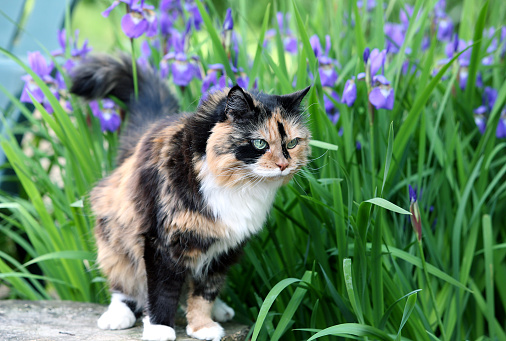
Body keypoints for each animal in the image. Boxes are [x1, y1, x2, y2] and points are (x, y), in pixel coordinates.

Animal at [69, 55, 310, 340]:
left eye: (292, 143)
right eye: (260, 143)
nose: (284, 165)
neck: (236, 186)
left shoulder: (224, 248)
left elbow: (204, 292)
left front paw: (202, 326)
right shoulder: (161, 242)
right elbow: (162, 290)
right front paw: (159, 329)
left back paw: (220, 310)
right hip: (116, 236)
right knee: (123, 282)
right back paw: (118, 315)